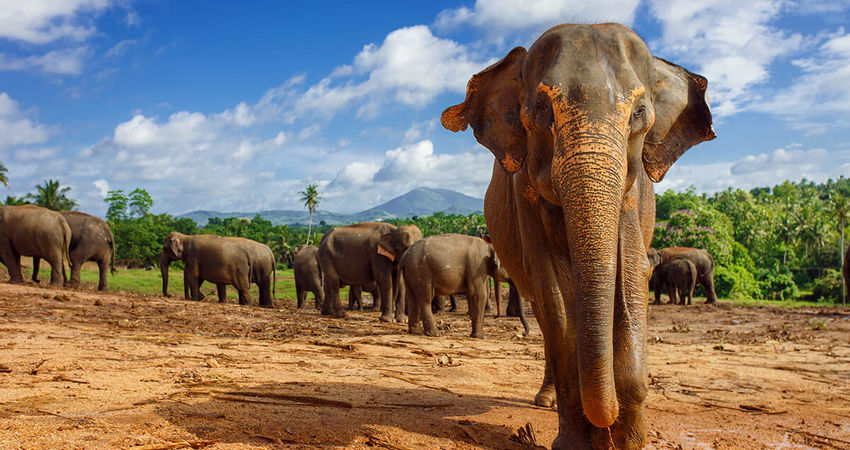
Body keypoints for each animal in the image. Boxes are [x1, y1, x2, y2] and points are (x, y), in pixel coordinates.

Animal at [440, 24, 712, 450]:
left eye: (639, 112)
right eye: (541, 109)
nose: (608, 424)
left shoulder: (634, 194)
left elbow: (632, 275)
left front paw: (627, 441)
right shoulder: (524, 195)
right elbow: (554, 291)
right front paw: (576, 442)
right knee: (545, 312)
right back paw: (546, 399)